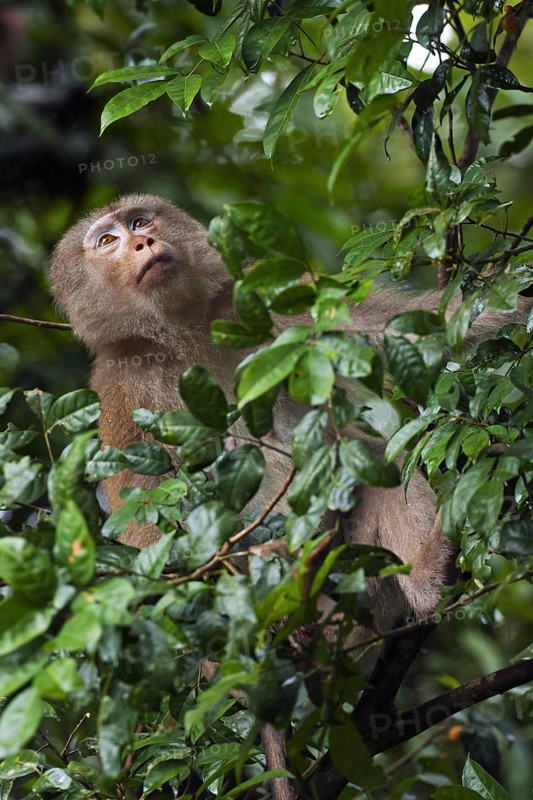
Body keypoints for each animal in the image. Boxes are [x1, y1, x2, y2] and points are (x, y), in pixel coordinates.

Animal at [49, 193, 529, 645]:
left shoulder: (265, 301)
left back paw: (430, 574)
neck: (179, 329)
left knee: (375, 462)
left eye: (140, 222)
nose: (142, 243)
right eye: (106, 242)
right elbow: (143, 502)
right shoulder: (122, 386)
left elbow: (418, 329)